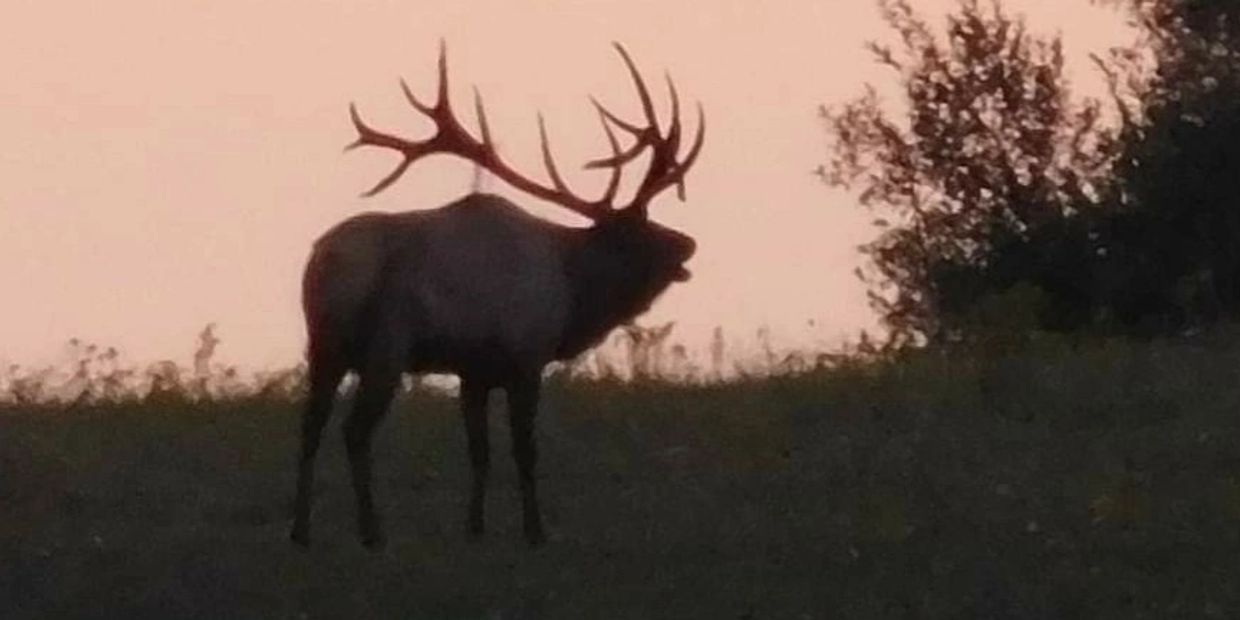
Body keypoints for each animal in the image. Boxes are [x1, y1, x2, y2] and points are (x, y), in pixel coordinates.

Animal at [285, 41, 704, 550]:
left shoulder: (474, 371)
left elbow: (479, 451)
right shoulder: (526, 357)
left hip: (323, 346)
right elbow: (525, 450)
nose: (688, 243)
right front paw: (535, 531)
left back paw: (301, 529)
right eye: (641, 231)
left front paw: (475, 527)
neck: (572, 296)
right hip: (387, 346)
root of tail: (325, 263)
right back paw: (371, 531)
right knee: (354, 430)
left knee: (310, 425)